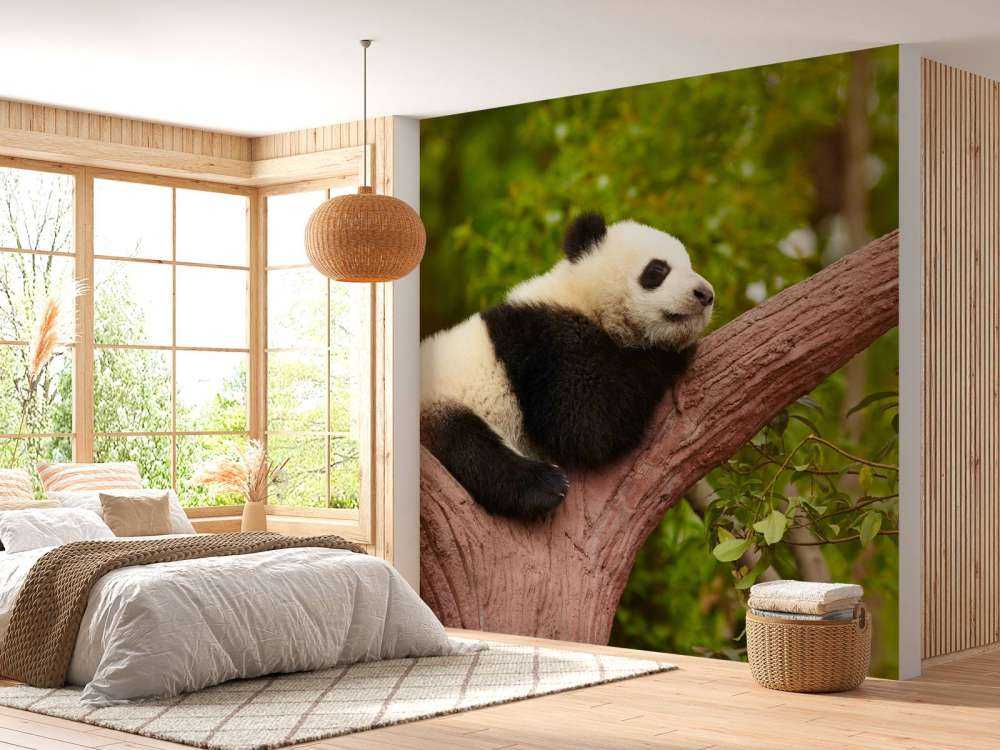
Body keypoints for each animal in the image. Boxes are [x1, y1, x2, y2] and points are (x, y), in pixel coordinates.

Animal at [420, 212, 714, 521]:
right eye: (657, 269)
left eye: (690, 265)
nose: (705, 294)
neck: (581, 297)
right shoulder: (546, 343)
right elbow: (586, 423)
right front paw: (671, 354)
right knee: (465, 442)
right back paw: (544, 486)